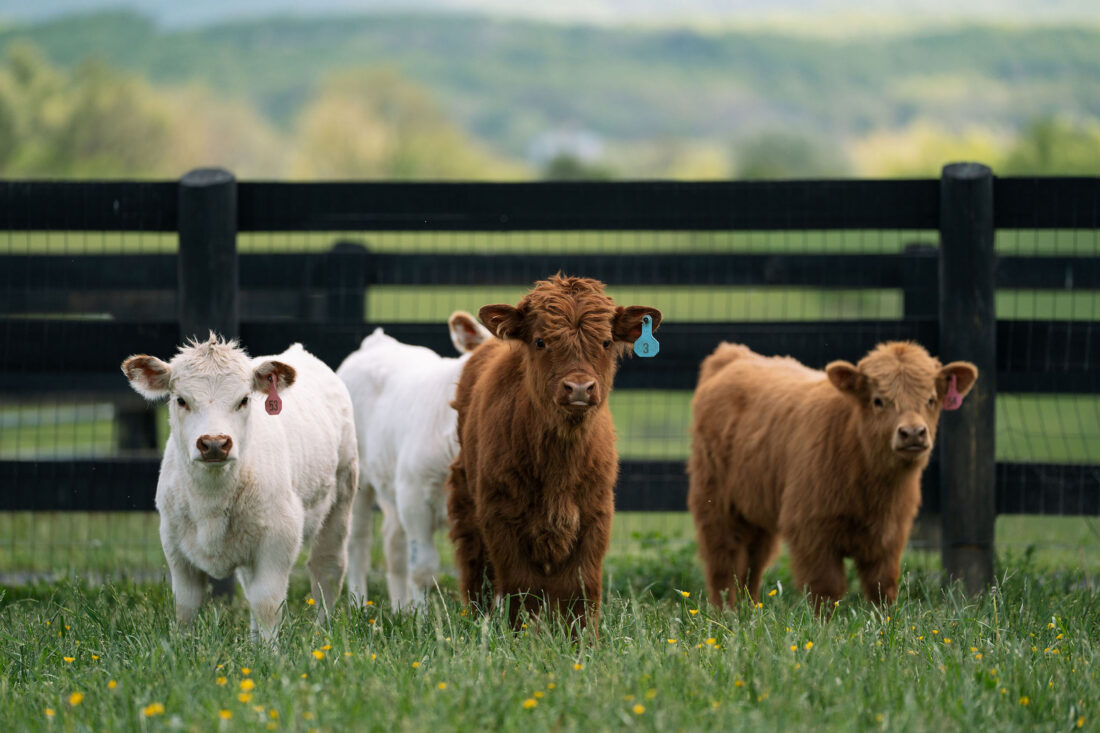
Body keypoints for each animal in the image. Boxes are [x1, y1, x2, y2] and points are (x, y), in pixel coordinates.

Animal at [121, 333, 358, 641]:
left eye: (244, 400)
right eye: (181, 400)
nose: (214, 443)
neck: (211, 502)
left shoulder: (278, 539)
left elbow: (267, 603)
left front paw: (269, 651)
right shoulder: (174, 544)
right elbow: (186, 605)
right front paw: (181, 645)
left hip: (341, 494)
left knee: (327, 569)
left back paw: (323, 633)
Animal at [337, 311, 493, 610]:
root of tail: (378, 341)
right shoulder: (415, 497)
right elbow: (423, 569)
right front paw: (422, 618)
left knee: (394, 544)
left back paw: (401, 607)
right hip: (359, 482)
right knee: (358, 543)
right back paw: (359, 604)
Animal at [447, 274, 662, 634]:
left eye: (606, 342)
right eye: (540, 342)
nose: (579, 388)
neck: (559, 464)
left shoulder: (595, 515)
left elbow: (580, 587)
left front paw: (582, 641)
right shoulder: (500, 515)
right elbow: (522, 587)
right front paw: (523, 637)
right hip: (467, 500)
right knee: (477, 570)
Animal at [688, 341, 977, 610]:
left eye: (931, 399)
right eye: (878, 400)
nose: (913, 433)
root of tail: (733, 355)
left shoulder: (890, 534)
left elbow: (882, 587)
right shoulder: (811, 530)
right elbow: (826, 589)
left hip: (756, 511)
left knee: (752, 566)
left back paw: (749, 611)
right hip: (715, 504)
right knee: (723, 566)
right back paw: (725, 614)